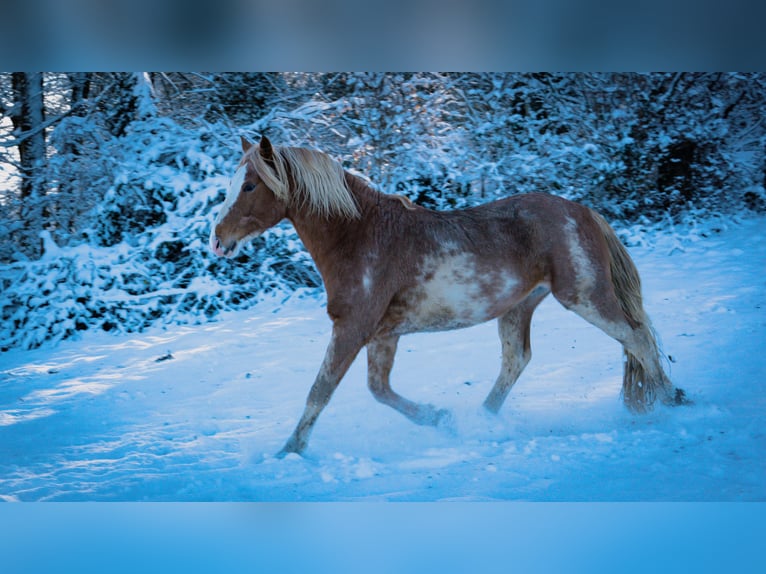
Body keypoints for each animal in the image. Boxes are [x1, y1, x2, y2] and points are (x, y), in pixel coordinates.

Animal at [210, 136, 688, 460]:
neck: (362, 236)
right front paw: (441, 418)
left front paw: (288, 452)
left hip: (583, 296)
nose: (217, 241)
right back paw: (482, 421)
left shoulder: (352, 329)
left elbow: (320, 392)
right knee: (517, 361)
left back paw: (673, 401)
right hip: (520, 306)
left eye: (250, 185)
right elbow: (379, 390)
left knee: (636, 338)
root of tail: (583, 211)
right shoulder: (382, 335)